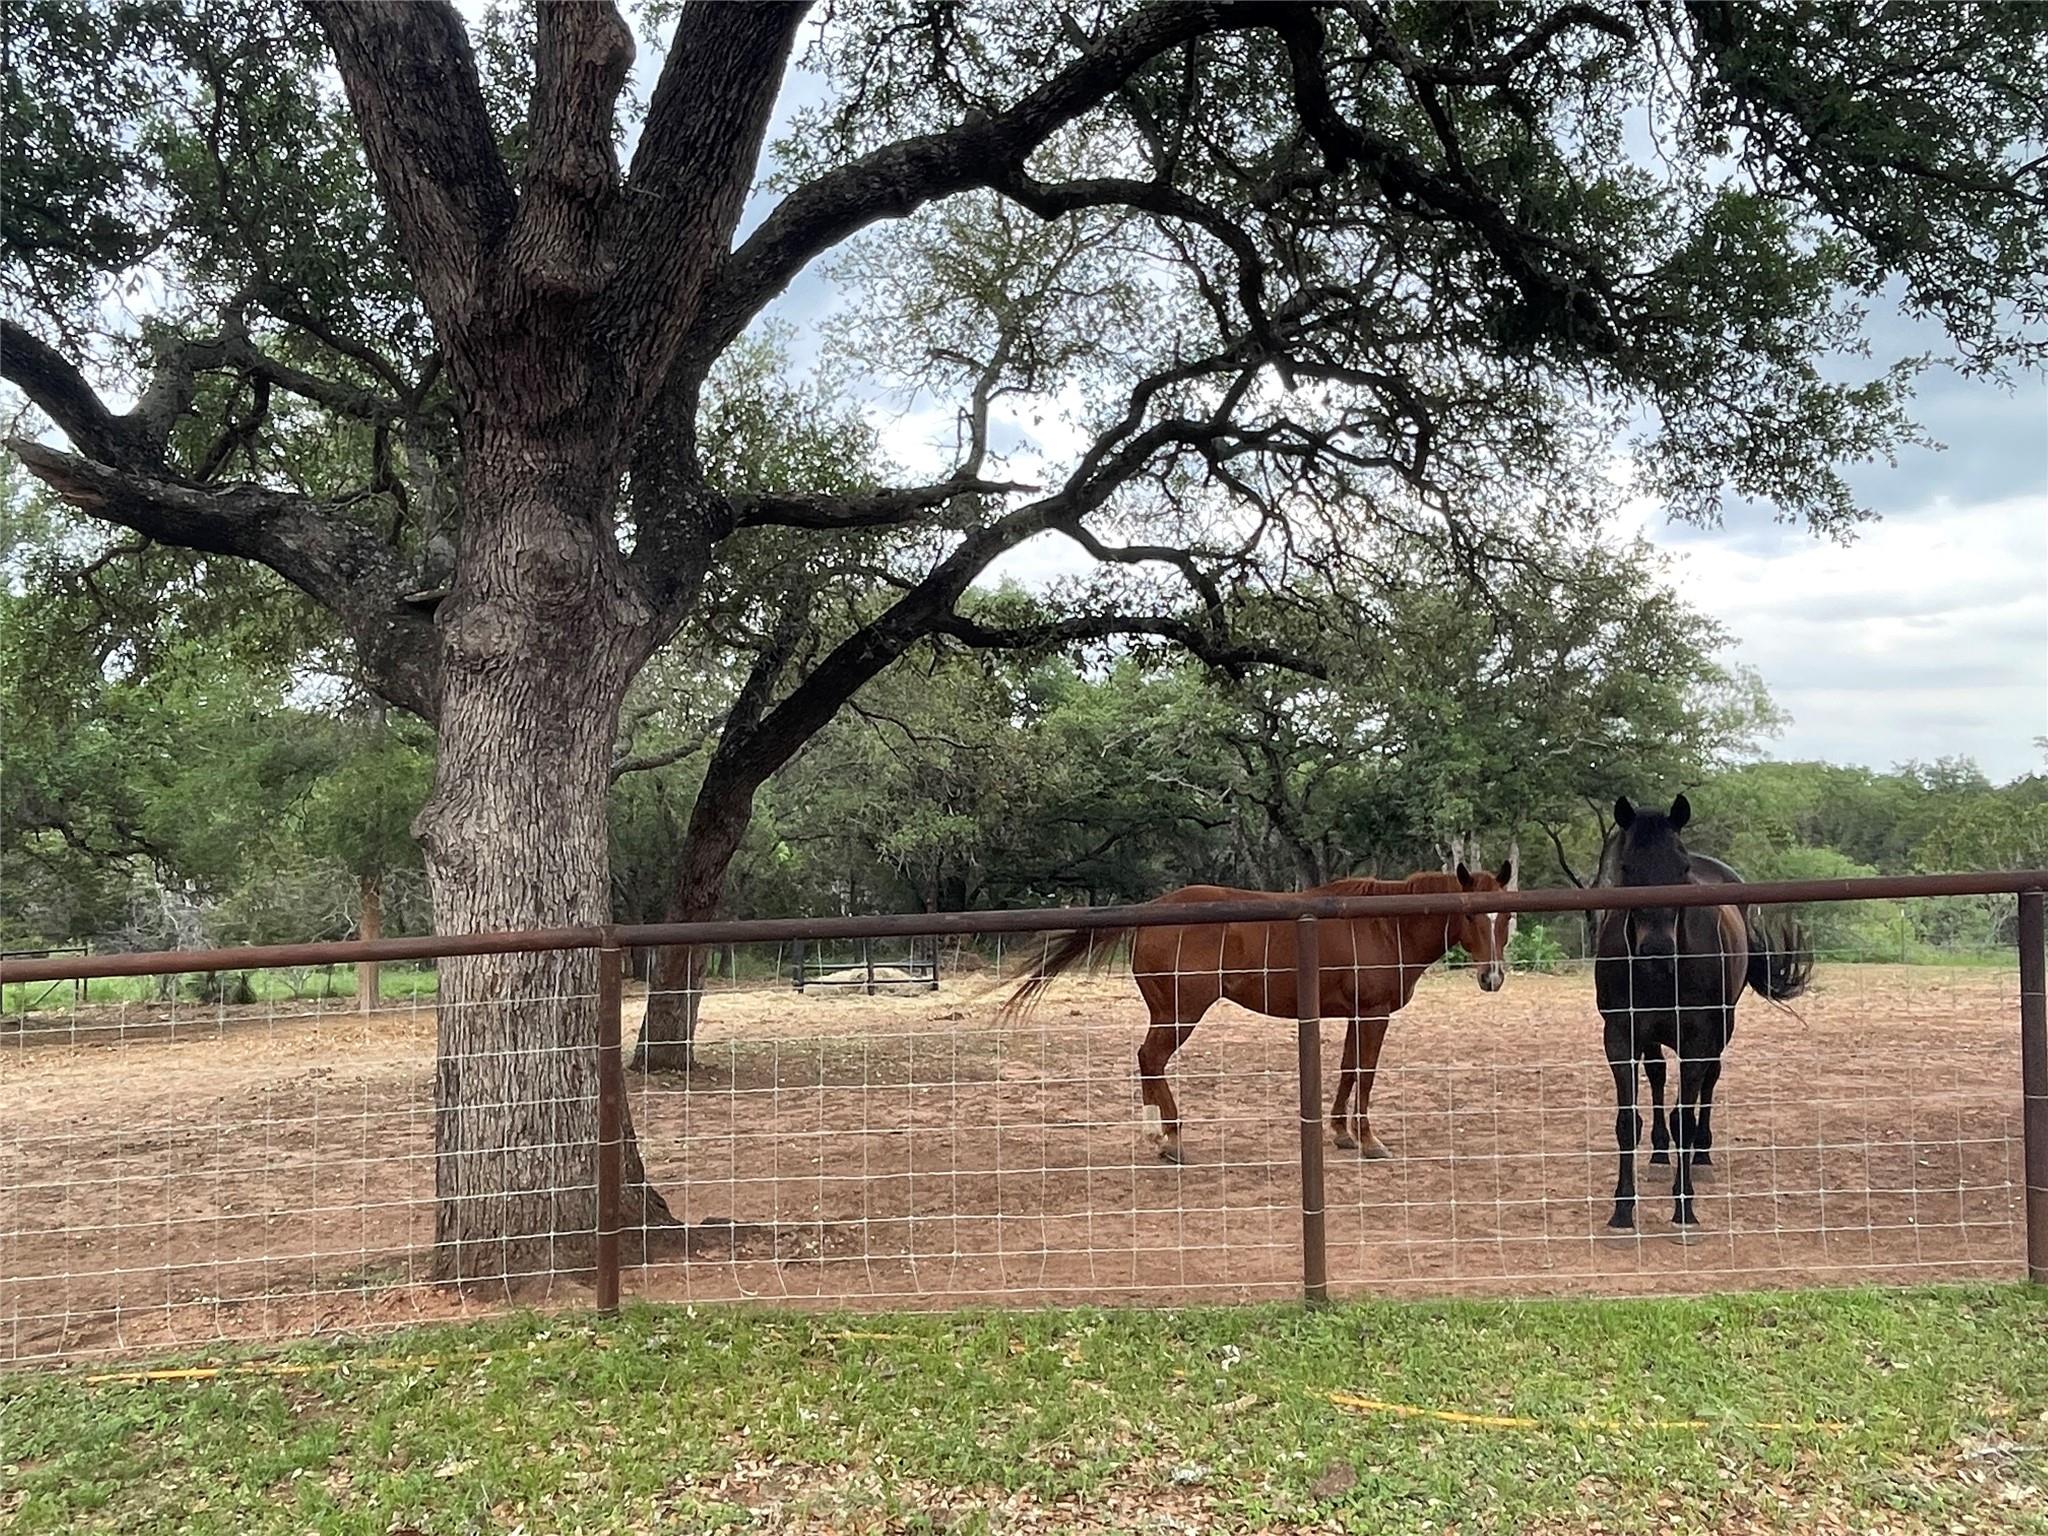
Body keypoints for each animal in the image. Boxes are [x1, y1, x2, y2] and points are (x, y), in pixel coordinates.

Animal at [999, 872, 1515, 1163]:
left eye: (1506, 916)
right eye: (1472, 916)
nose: (1491, 977)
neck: (1384, 924)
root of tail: (1150, 912)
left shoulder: (1356, 1015)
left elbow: (1348, 1070)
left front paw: (1341, 1133)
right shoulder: (1374, 1015)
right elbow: (1366, 1074)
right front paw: (1370, 1142)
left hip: (1167, 1012)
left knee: (1147, 1060)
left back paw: (1158, 1134)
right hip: (1179, 1013)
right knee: (1152, 1058)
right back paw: (1169, 1139)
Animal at [1597, 798, 1810, 1236]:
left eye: (1681, 869)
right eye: (1627, 867)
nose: (1657, 950)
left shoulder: (1697, 1035)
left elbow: (1685, 1117)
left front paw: (1684, 1207)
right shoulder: (1621, 1035)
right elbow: (1627, 1122)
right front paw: (1622, 1210)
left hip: (1722, 1026)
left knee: (1709, 1080)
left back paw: (1702, 1155)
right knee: (1658, 1075)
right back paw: (1661, 1155)